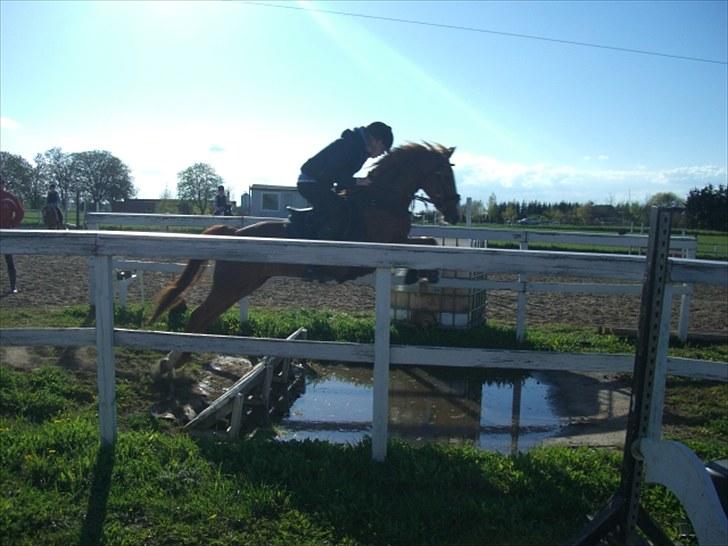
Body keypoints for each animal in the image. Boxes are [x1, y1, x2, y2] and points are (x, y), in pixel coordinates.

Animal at [151, 140, 460, 372]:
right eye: (442, 175)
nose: (455, 214)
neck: (381, 199)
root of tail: (235, 233)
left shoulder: (396, 242)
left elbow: (429, 241)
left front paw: (423, 274)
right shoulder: (383, 244)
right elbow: (425, 244)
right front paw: (417, 274)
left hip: (241, 286)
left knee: (205, 318)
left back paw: (179, 359)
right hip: (231, 285)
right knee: (198, 316)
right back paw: (170, 363)